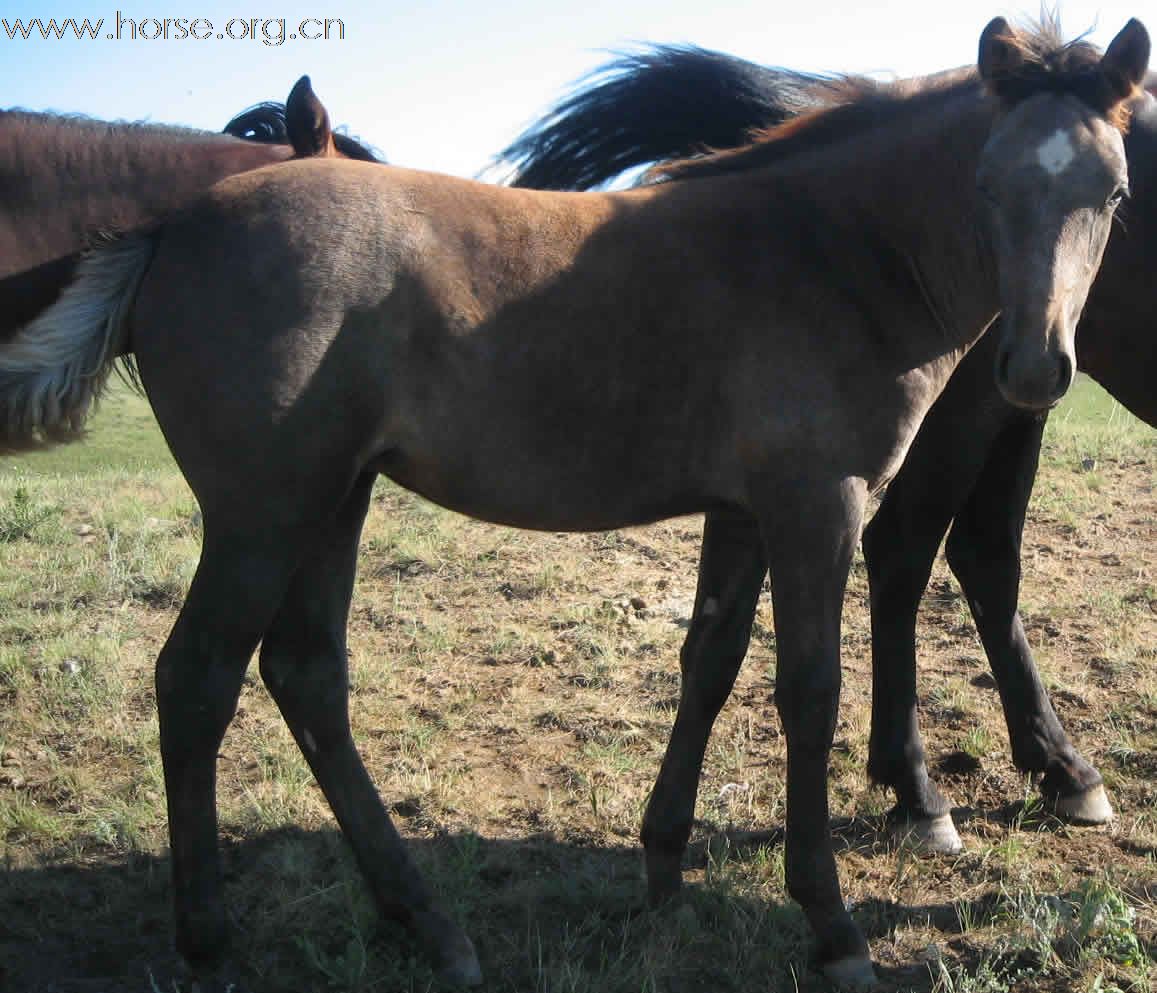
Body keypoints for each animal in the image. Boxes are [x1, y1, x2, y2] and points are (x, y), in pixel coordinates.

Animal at [497, 32, 1157, 851]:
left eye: (1118, 194)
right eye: (984, 188)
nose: (1035, 358)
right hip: (980, 404)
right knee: (925, 549)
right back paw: (946, 788)